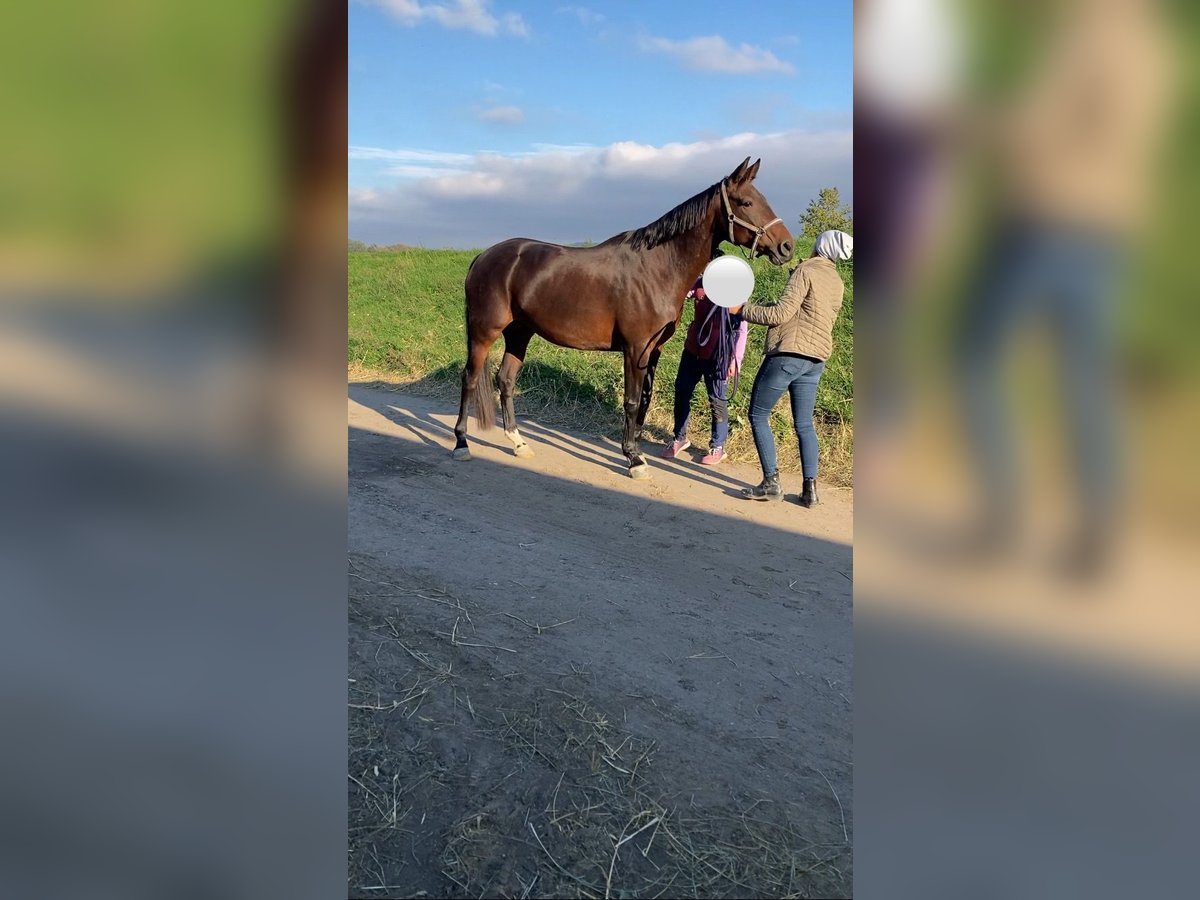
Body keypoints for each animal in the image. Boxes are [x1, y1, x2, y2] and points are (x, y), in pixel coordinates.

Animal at [451, 157, 796, 480]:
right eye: (746, 202)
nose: (787, 246)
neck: (657, 268)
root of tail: (483, 257)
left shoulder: (653, 350)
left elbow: (644, 400)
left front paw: (637, 450)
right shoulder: (635, 349)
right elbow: (630, 401)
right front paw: (633, 459)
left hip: (519, 333)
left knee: (506, 380)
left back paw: (519, 443)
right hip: (485, 332)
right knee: (470, 378)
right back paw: (461, 443)